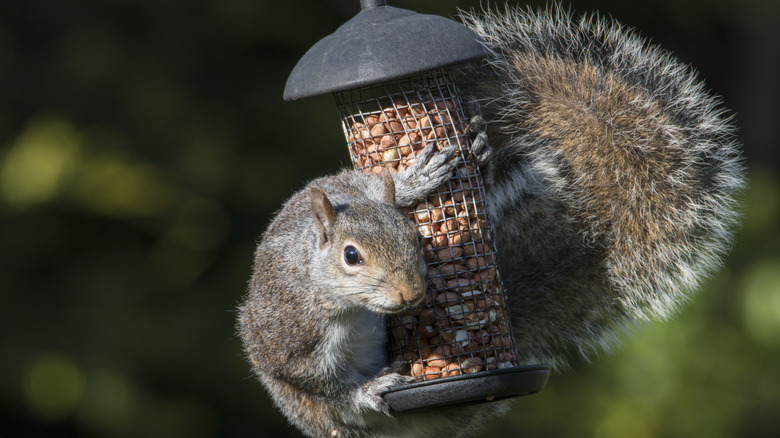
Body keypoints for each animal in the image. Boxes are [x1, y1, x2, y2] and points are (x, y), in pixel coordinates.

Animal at [238, 6, 745, 438]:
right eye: (350, 256)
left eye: (413, 238)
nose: (411, 294)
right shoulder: (292, 337)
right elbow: (325, 385)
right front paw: (368, 389)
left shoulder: (345, 185)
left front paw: (416, 180)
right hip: (310, 411)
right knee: (336, 411)